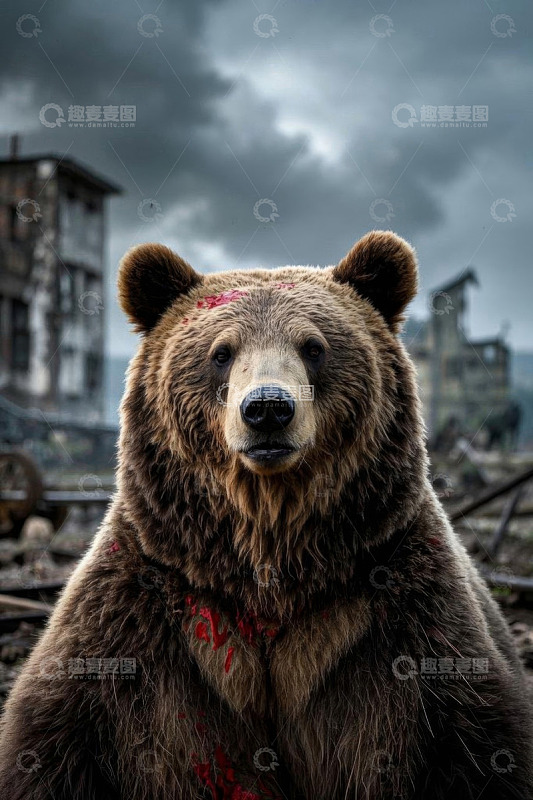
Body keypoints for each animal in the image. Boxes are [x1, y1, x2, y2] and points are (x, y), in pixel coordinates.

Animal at [0, 230, 531, 799]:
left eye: (314, 347)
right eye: (221, 352)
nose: (269, 408)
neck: (268, 557)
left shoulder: (394, 602)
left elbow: (470, 737)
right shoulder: (147, 606)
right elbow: (57, 732)